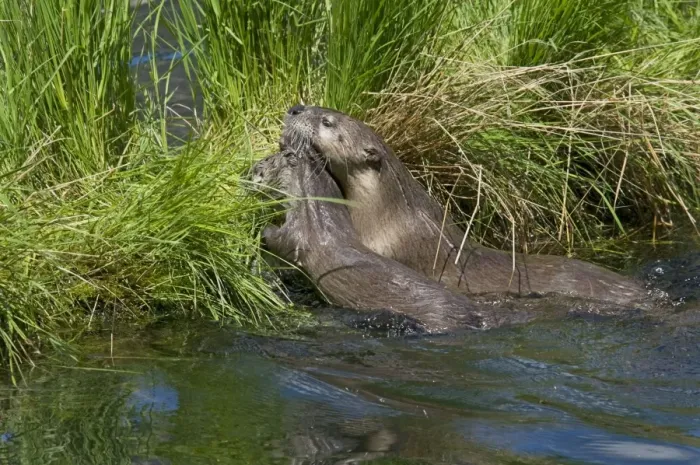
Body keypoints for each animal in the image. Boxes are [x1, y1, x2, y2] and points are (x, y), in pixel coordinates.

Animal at [251, 149, 486, 333]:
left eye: (266, 161)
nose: (250, 170)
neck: (317, 214)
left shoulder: (298, 232)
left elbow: (279, 240)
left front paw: (263, 231)